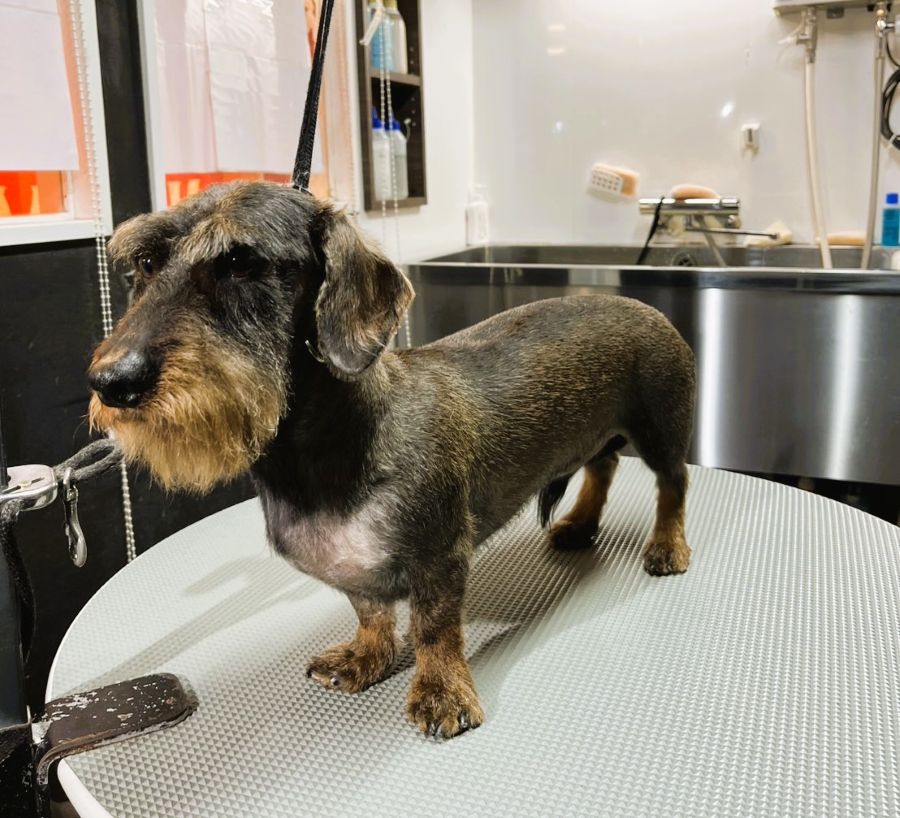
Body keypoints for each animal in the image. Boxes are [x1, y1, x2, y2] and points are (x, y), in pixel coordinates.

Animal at [88, 181, 696, 739]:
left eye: (240, 261)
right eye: (146, 262)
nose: (112, 382)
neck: (325, 457)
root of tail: (642, 305)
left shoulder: (440, 557)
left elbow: (433, 628)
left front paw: (441, 692)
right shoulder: (356, 573)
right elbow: (371, 612)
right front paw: (366, 657)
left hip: (661, 431)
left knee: (673, 486)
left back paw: (667, 546)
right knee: (602, 467)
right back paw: (580, 522)